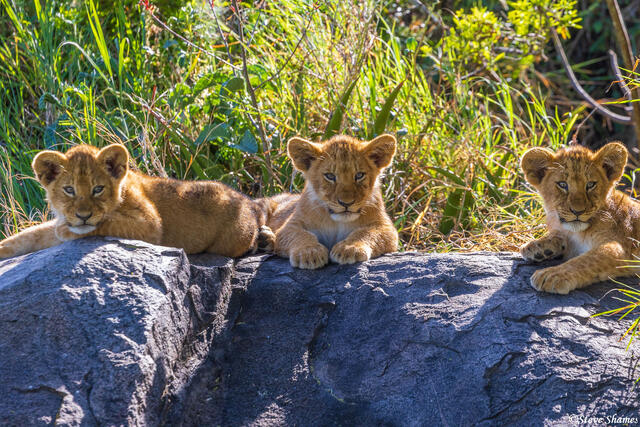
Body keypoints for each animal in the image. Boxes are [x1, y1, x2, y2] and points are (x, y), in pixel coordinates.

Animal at [0, 144, 274, 259]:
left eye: (98, 189)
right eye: (69, 189)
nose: (83, 216)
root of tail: (249, 202)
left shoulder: (150, 225)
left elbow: (105, 223)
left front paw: (71, 230)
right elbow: (29, 236)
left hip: (233, 237)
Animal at [260, 134, 398, 269]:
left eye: (359, 175)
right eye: (330, 176)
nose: (346, 203)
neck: (338, 222)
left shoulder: (386, 227)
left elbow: (366, 233)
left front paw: (349, 248)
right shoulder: (290, 226)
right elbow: (299, 235)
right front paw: (309, 252)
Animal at [520, 141, 639, 294]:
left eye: (591, 184)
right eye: (562, 184)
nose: (578, 211)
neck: (577, 233)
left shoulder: (620, 248)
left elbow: (584, 260)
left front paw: (552, 274)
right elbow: (557, 235)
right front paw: (535, 247)